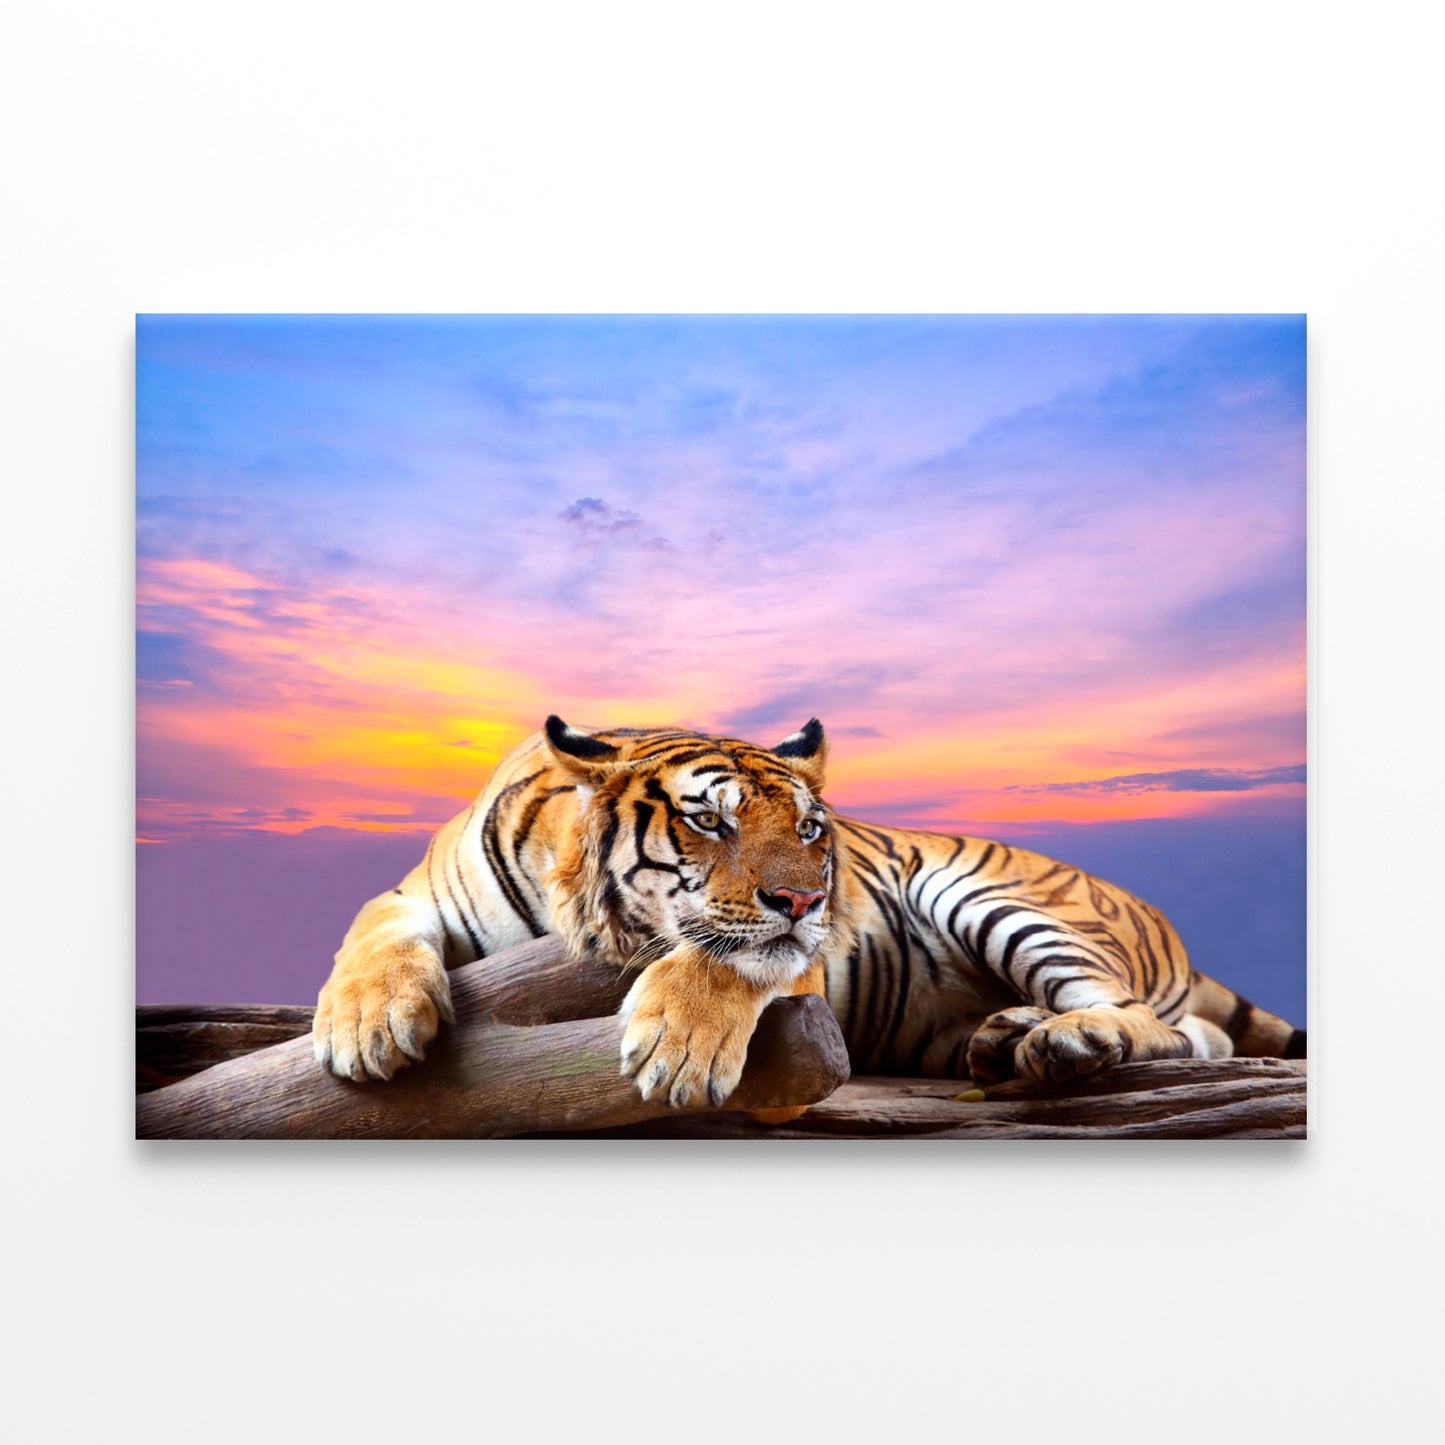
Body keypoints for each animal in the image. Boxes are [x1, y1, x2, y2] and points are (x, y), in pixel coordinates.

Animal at [312, 716, 1307, 1117]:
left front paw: (677, 1051)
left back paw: (1066, 1040)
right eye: (708, 819)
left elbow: (725, 954)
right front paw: (366, 1027)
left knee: (1167, 1027)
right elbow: (368, 931)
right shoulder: (414, 894)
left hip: (993, 897)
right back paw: (1005, 1037)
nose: (805, 898)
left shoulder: (796, 959)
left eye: (807, 829)